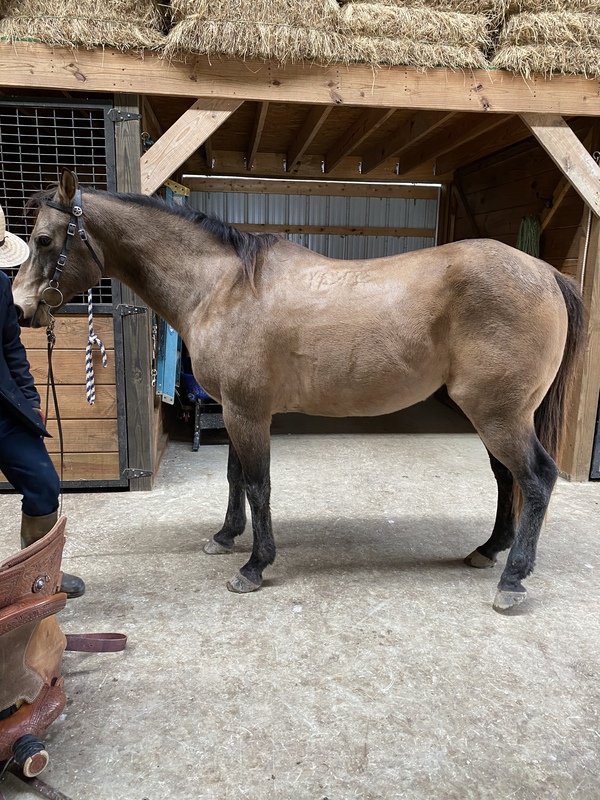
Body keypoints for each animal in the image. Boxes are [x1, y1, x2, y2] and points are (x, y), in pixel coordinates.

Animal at [12, 168, 584, 612]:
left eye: (43, 240)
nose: (20, 308)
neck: (225, 287)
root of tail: (543, 272)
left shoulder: (247, 412)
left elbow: (258, 483)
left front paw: (253, 566)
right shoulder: (236, 410)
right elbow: (235, 477)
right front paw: (225, 537)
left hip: (498, 414)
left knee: (536, 479)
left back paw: (513, 579)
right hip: (495, 414)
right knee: (506, 478)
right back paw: (489, 550)